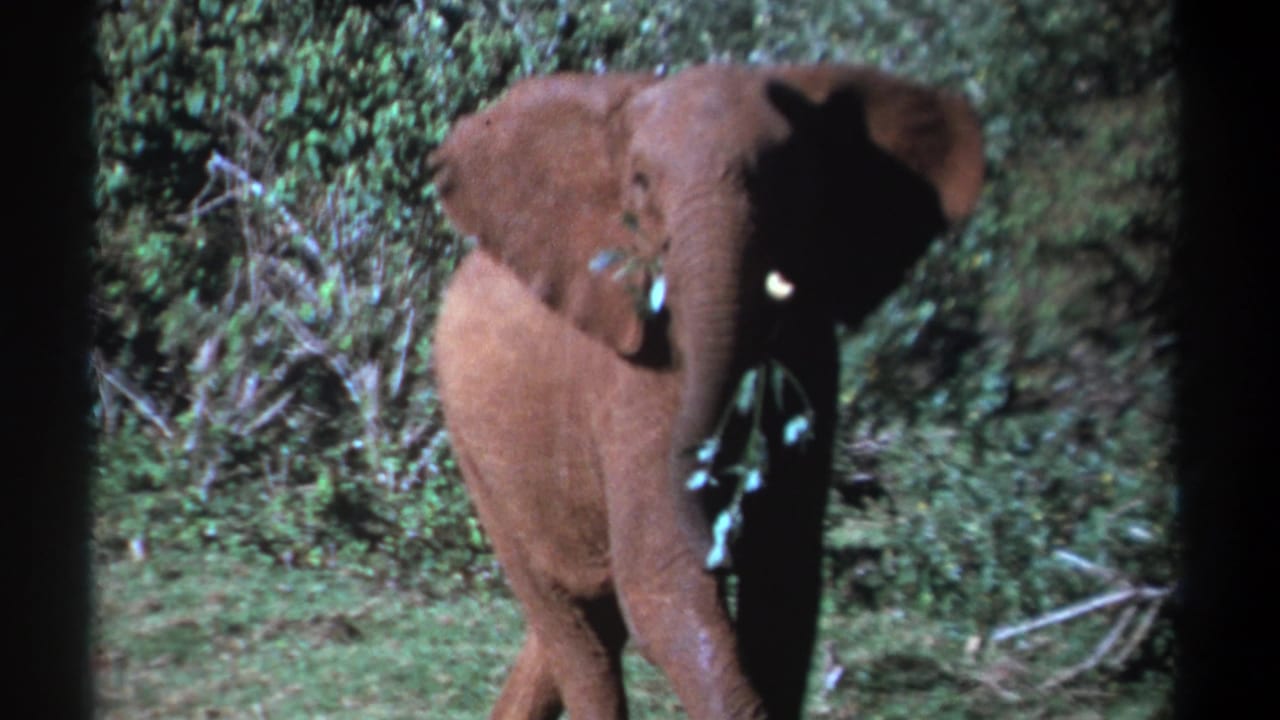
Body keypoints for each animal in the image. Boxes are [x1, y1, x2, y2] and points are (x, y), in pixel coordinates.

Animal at [428, 63, 984, 719]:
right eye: (640, 183)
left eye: (785, 179)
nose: (723, 539)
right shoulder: (637, 370)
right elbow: (665, 587)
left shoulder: (812, 351)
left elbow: (784, 581)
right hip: (475, 450)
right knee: (577, 627)